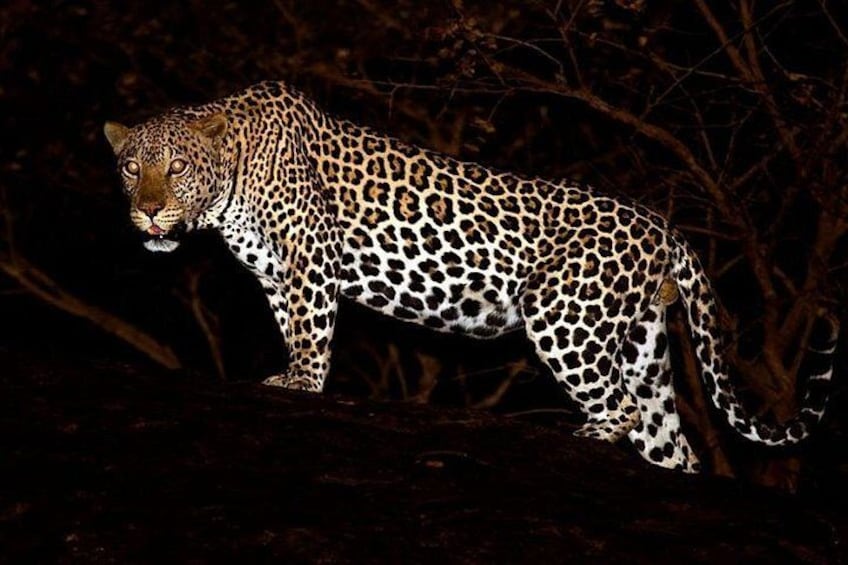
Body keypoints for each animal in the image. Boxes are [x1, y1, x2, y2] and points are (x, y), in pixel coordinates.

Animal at [104, 81, 837, 473]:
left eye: (176, 168)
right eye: (130, 167)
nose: (149, 210)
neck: (230, 181)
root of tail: (664, 227)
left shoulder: (309, 260)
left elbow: (312, 336)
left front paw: (300, 386)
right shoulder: (276, 274)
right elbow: (292, 327)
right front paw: (289, 375)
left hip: (563, 313)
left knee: (619, 408)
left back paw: (581, 437)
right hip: (640, 342)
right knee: (669, 437)